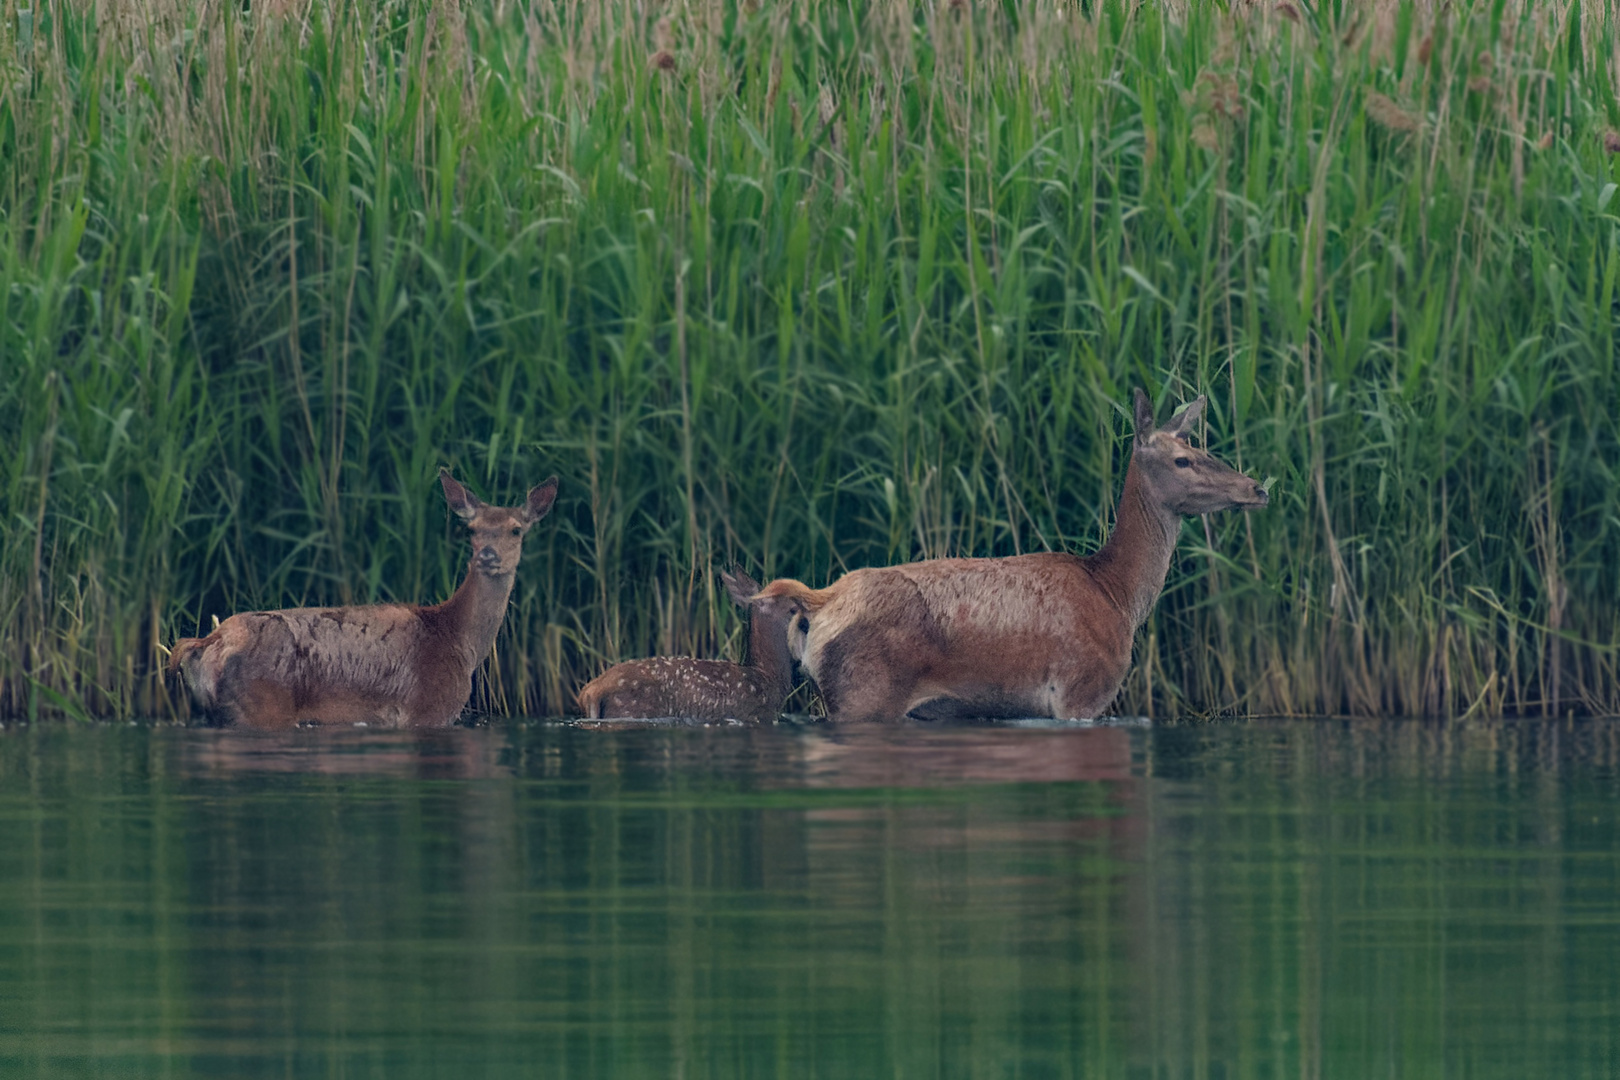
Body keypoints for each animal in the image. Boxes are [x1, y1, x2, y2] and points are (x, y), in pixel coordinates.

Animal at [164, 469, 557, 731]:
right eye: (471, 530)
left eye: (515, 529)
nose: (488, 555)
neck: (459, 639)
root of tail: (208, 642)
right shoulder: (429, 708)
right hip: (262, 704)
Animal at [751, 393, 1270, 722]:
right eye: (1184, 459)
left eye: (1199, 445)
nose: (1257, 488)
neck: (1117, 594)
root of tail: (820, 602)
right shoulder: (1080, 689)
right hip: (865, 691)